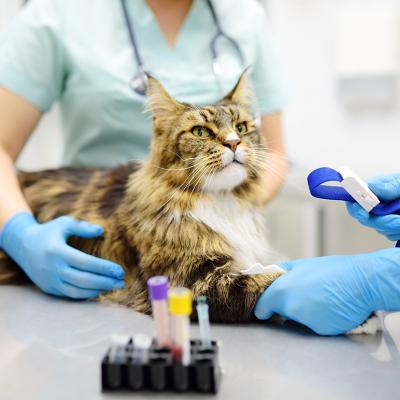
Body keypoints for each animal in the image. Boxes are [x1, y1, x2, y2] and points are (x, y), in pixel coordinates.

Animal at [0, 72, 284, 322]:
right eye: (200, 132)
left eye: (241, 127)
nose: (234, 142)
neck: (222, 201)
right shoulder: (190, 282)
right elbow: (264, 281)